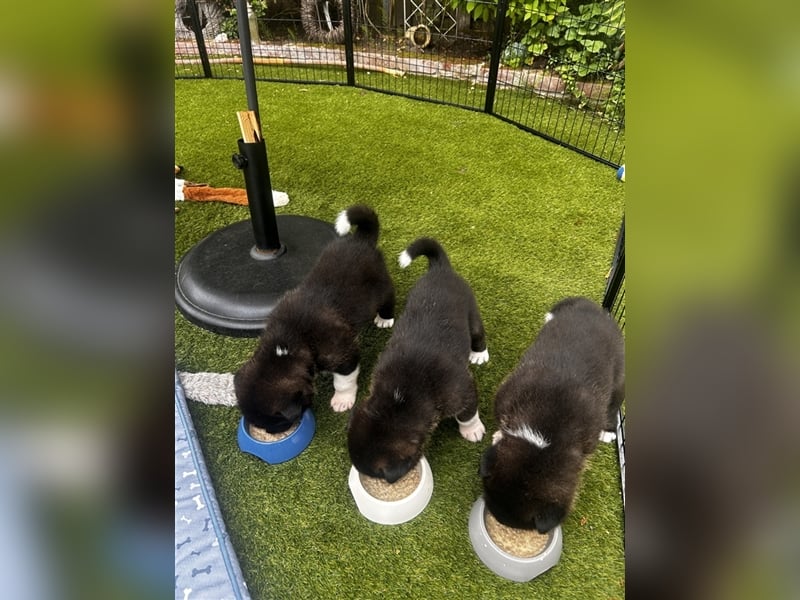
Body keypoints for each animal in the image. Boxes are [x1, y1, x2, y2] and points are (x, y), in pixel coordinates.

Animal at [233, 204, 396, 434]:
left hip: (381, 287)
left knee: (389, 297)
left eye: (276, 422)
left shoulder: (342, 353)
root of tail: (361, 239)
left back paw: (385, 318)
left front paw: (342, 400)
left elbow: (344, 380)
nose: (272, 432)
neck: (288, 343)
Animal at [348, 237, 490, 486]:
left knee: (478, 333)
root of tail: (441, 269)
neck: (400, 397)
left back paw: (479, 354)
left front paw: (472, 430)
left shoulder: (463, 390)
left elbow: (467, 414)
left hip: (472, 313)